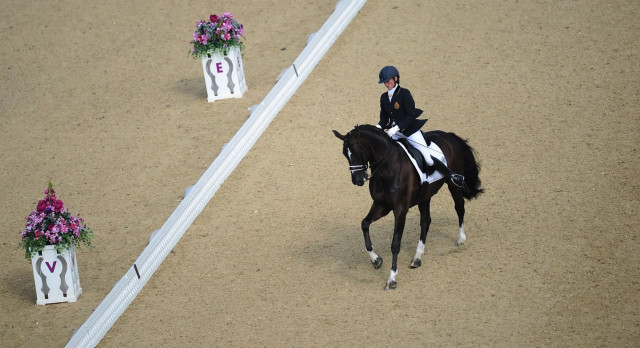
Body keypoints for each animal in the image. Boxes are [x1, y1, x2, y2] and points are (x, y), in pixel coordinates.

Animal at [332, 123, 482, 290]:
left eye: (358, 151)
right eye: (345, 154)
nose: (358, 180)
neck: (387, 169)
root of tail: (449, 135)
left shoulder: (400, 209)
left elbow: (395, 244)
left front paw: (392, 278)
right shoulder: (381, 206)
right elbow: (364, 224)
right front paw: (376, 259)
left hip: (453, 185)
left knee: (459, 207)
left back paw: (461, 239)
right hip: (425, 196)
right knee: (425, 221)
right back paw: (417, 257)